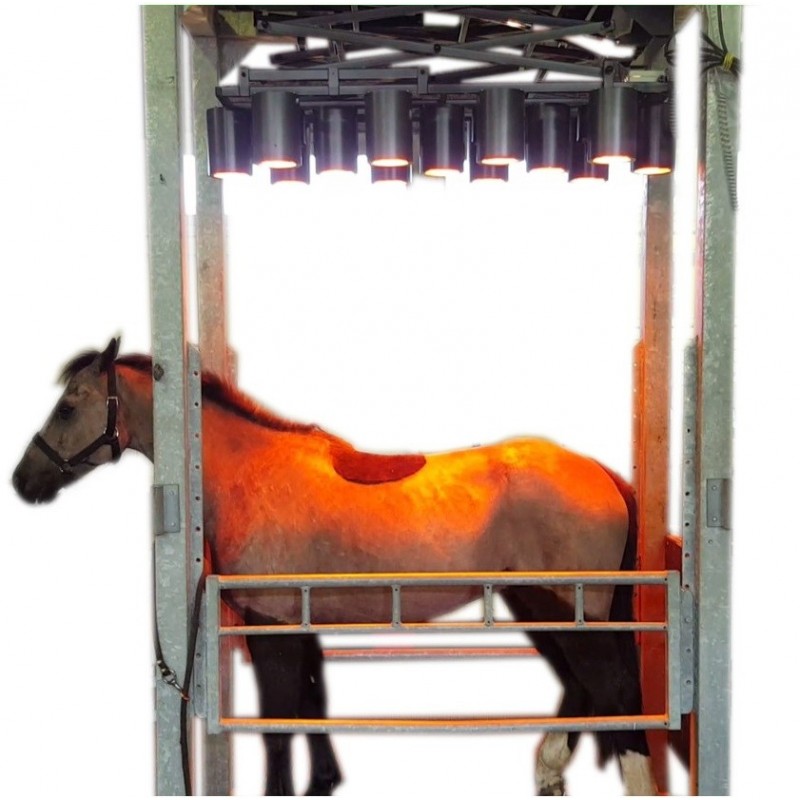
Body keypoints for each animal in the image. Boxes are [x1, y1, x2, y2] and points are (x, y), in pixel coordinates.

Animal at [12, 338, 657, 796]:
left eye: (67, 406)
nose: (23, 482)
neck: (249, 474)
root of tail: (605, 477)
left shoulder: (270, 627)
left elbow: (278, 724)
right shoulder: (300, 623)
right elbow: (311, 702)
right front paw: (322, 782)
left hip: (565, 606)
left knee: (611, 686)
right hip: (540, 605)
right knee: (581, 686)